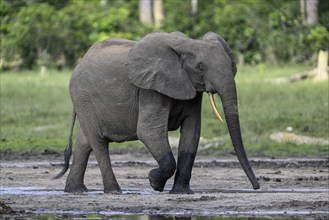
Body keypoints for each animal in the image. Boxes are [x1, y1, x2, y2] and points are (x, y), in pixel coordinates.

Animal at [53, 31, 258, 194]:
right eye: (200, 67)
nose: (256, 186)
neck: (187, 44)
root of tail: (80, 63)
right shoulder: (150, 89)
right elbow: (148, 131)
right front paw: (153, 182)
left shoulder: (190, 88)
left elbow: (192, 133)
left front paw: (181, 193)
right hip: (83, 96)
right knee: (99, 142)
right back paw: (114, 191)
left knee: (84, 142)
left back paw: (75, 190)